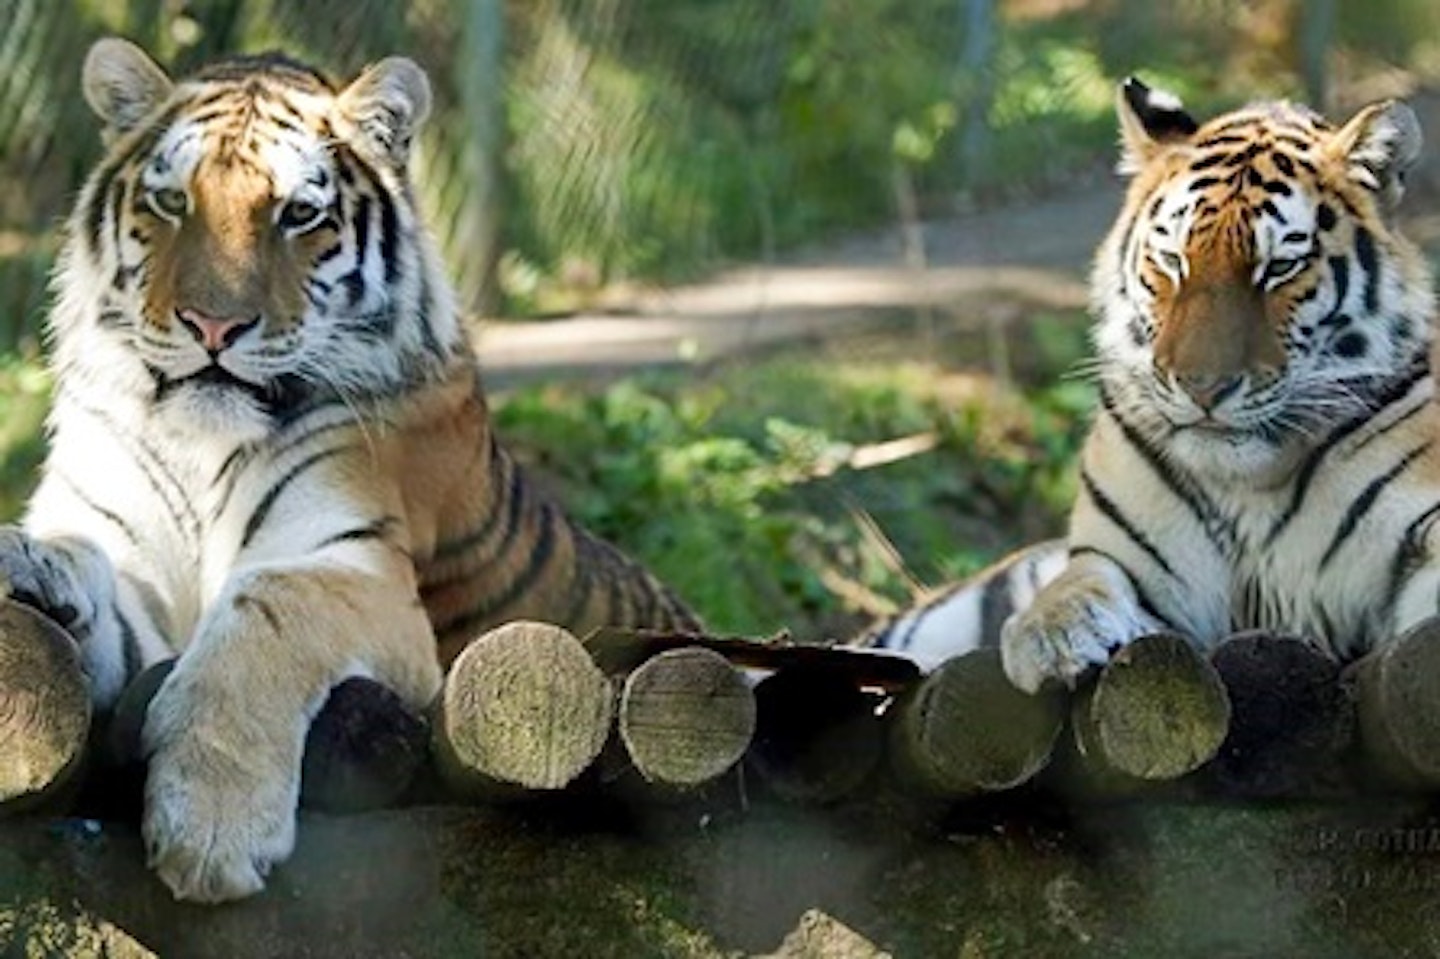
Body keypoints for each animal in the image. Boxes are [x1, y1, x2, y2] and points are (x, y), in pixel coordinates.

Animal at [1, 37, 696, 898]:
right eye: (171, 203)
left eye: (298, 214)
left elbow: (267, 602)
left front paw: (212, 829)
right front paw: (28, 561)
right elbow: (83, 558)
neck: (198, 440)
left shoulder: (360, 570)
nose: (212, 326)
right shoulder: (125, 567)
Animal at [864, 76, 1440, 694]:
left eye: (1280, 268)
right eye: (1172, 259)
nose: (1203, 387)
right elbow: (1076, 582)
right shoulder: (1120, 556)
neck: (1247, 488)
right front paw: (1054, 638)